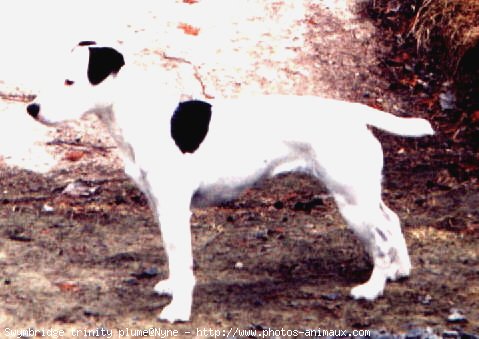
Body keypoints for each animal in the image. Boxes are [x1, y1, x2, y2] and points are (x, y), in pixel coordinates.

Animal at [25, 41, 436, 324]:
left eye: (70, 81)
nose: (32, 108)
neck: (143, 117)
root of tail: (352, 112)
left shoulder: (175, 210)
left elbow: (182, 260)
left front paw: (179, 309)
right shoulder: (160, 208)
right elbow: (172, 257)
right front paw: (171, 287)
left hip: (351, 202)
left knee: (380, 240)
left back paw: (372, 288)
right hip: (363, 193)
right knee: (392, 220)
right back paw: (400, 270)